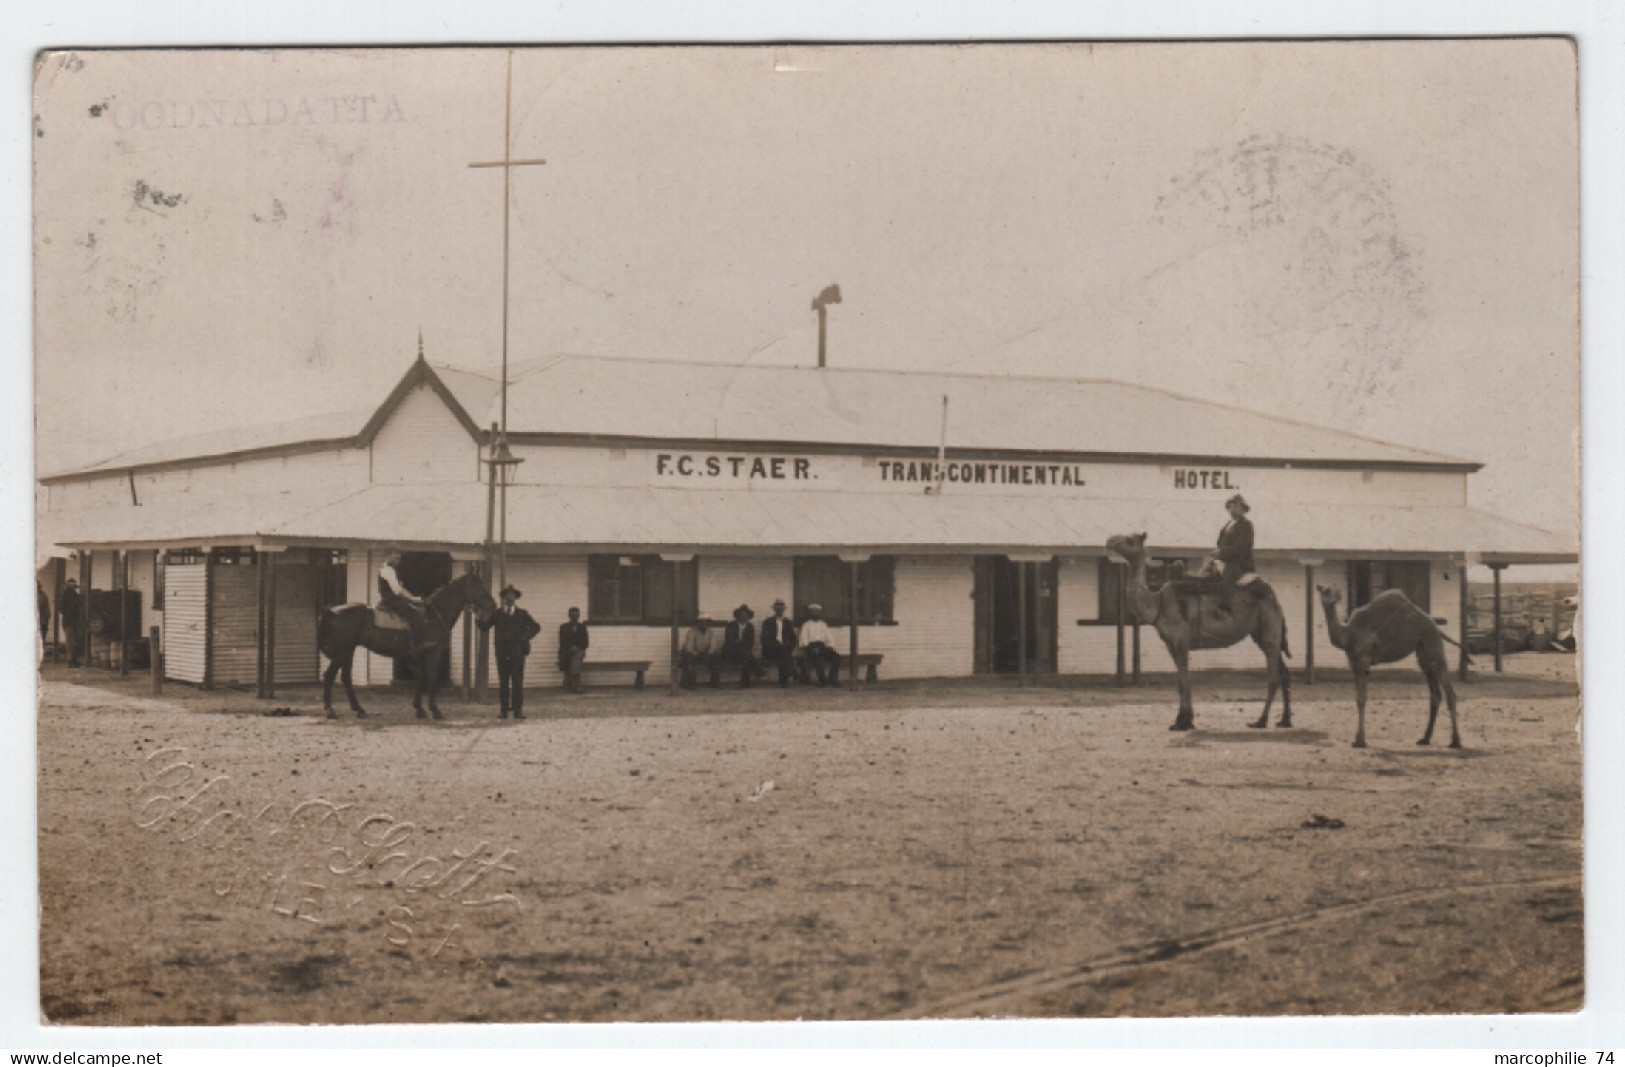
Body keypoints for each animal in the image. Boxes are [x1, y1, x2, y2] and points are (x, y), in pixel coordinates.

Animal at [316, 571, 494, 721]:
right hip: (341, 652)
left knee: (346, 678)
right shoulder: (433, 652)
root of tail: (332, 611)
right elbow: (432, 678)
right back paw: (330, 710)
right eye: (479, 586)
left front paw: (419, 709)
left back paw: (359, 710)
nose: (493, 605)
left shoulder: (421, 654)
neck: (434, 616)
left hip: (348, 651)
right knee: (330, 676)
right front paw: (435, 710)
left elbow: (421, 678)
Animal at [1105, 532, 1293, 734]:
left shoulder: (1181, 640)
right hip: (1262, 635)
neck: (1158, 603)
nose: (1110, 541)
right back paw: (1285, 720)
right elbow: (1181, 680)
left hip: (1269, 631)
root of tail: (1276, 601)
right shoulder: (1170, 644)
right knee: (1284, 673)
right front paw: (1183, 721)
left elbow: (1183, 681)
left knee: (1273, 677)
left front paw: (1183, 722)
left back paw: (1260, 721)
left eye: (1129, 540)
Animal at [1313, 581, 1469, 750]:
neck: (1347, 635)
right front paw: (1356, 739)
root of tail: (1436, 626)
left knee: (1449, 693)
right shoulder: (1353, 664)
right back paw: (1424, 738)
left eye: (1333, 590)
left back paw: (1455, 741)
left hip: (1433, 644)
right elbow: (1357, 699)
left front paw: (1361, 741)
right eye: (1326, 591)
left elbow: (1362, 699)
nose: (1338, 595)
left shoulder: (1363, 661)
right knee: (1435, 694)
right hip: (1423, 653)